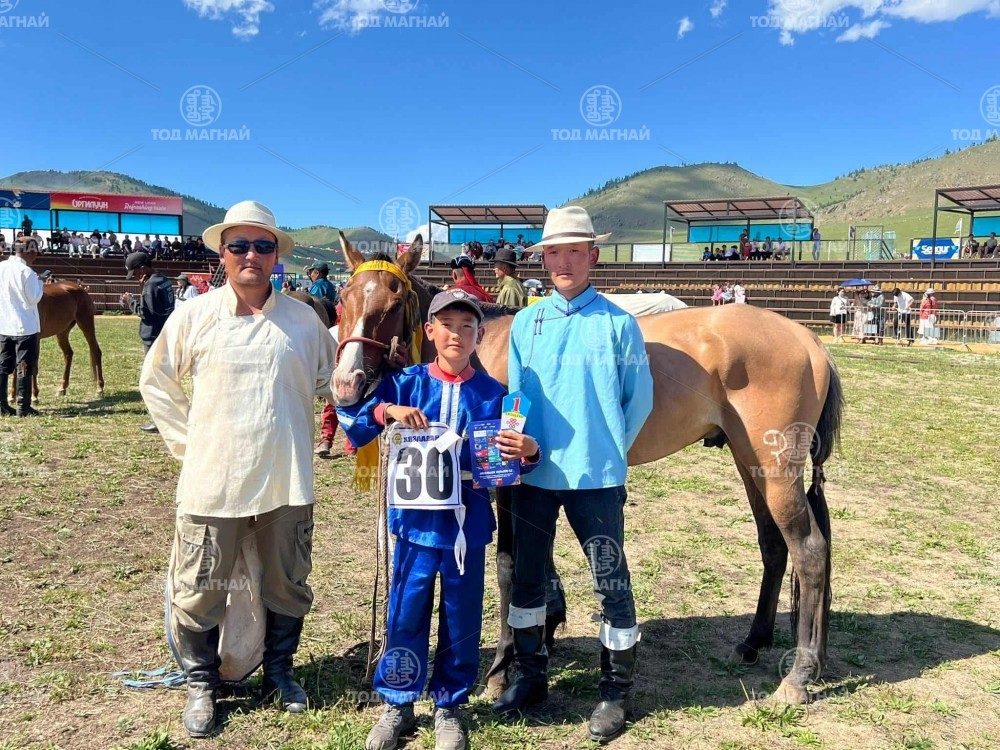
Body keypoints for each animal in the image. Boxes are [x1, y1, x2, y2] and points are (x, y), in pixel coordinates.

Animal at [331, 233, 843, 706]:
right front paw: (545, 628)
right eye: (343, 299)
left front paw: (502, 668)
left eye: (393, 301)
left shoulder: (511, 484)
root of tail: (809, 341)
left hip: (775, 469)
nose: (346, 384)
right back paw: (755, 642)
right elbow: (538, 563)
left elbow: (509, 567)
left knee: (809, 549)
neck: (480, 349)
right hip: (750, 461)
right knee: (774, 546)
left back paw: (799, 675)